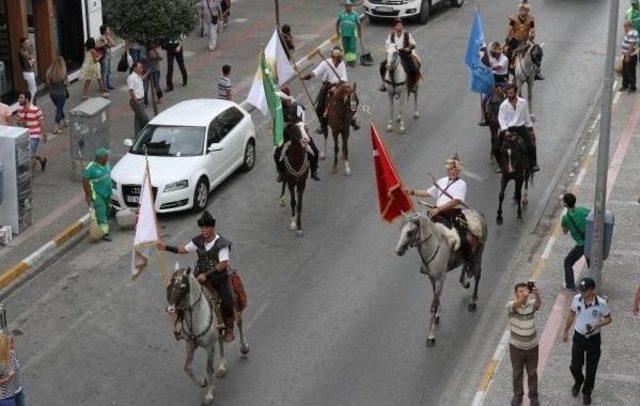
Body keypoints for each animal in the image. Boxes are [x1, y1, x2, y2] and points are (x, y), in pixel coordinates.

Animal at [168, 266, 250, 402]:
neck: (197, 317)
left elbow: (209, 368)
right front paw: (202, 382)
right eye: (169, 286)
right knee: (221, 341)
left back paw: (244, 347)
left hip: (236, 310)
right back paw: (221, 367)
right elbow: (187, 367)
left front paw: (209, 394)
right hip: (219, 328)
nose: (170, 309)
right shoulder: (191, 344)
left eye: (183, 287)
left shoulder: (210, 346)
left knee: (240, 324)